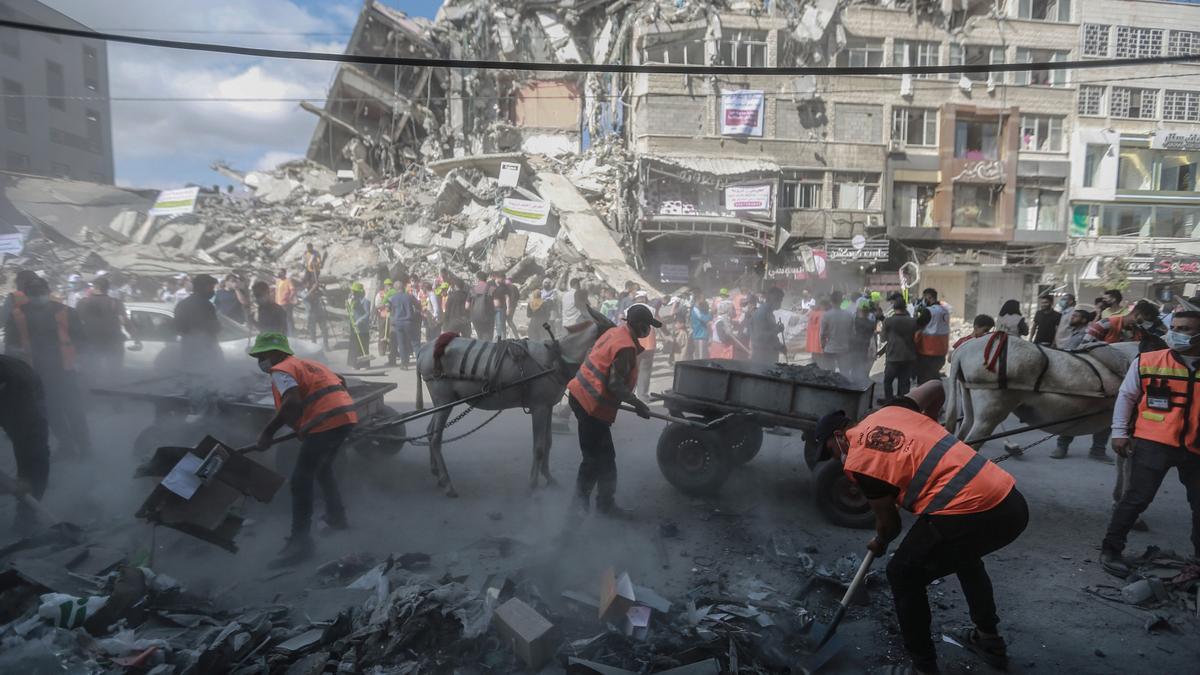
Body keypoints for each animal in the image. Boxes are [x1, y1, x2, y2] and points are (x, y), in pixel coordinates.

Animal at [415, 305, 619, 494]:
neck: (556, 358)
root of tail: (425, 348)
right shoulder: (539, 407)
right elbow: (539, 447)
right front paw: (533, 483)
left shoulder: (548, 407)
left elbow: (548, 443)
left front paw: (549, 478)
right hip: (443, 400)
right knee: (435, 438)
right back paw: (447, 483)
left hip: (442, 402)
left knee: (430, 431)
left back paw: (437, 473)